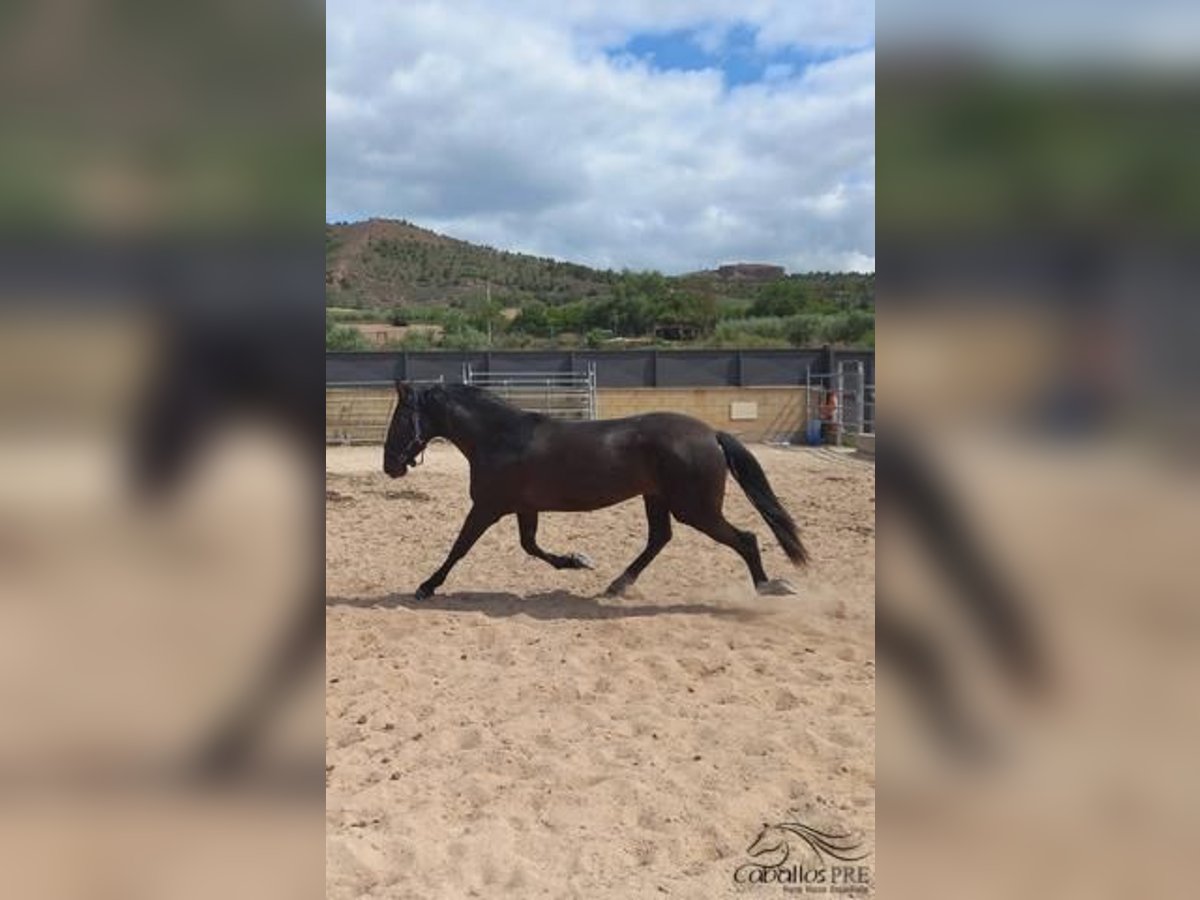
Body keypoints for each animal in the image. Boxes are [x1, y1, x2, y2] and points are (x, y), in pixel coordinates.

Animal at [384, 381, 806, 600]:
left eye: (402, 418)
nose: (389, 466)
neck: (500, 437)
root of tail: (711, 434)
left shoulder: (487, 507)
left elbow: (459, 548)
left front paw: (426, 586)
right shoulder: (523, 508)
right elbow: (530, 546)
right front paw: (577, 560)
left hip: (695, 508)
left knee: (745, 539)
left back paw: (769, 587)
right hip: (658, 499)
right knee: (659, 538)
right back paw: (616, 585)